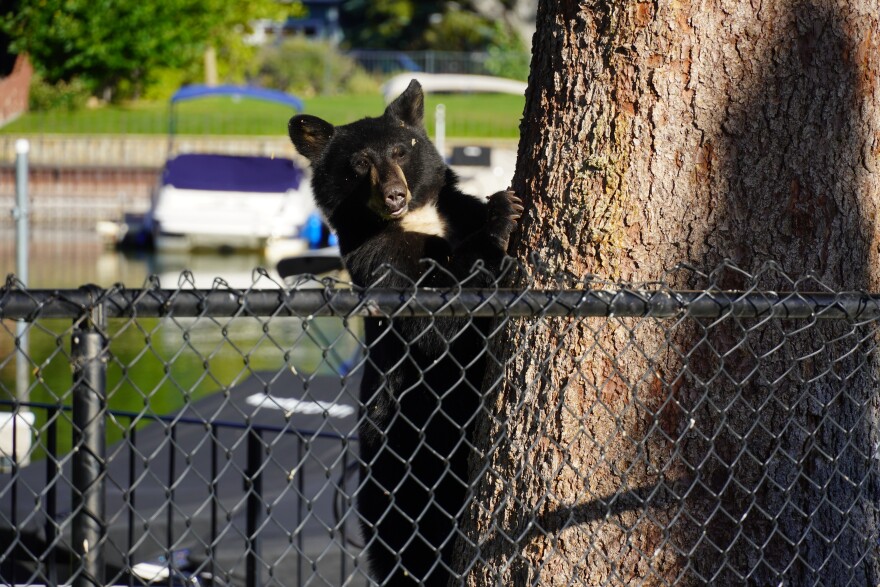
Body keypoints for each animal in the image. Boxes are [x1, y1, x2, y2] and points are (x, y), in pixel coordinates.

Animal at [288, 79, 522, 585]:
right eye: (359, 164)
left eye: (401, 149)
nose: (394, 194)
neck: (416, 222)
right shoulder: (382, 264)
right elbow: (438, 325)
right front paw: (501, 213)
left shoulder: (452, 215)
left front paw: (495, 206)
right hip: (405, 485)